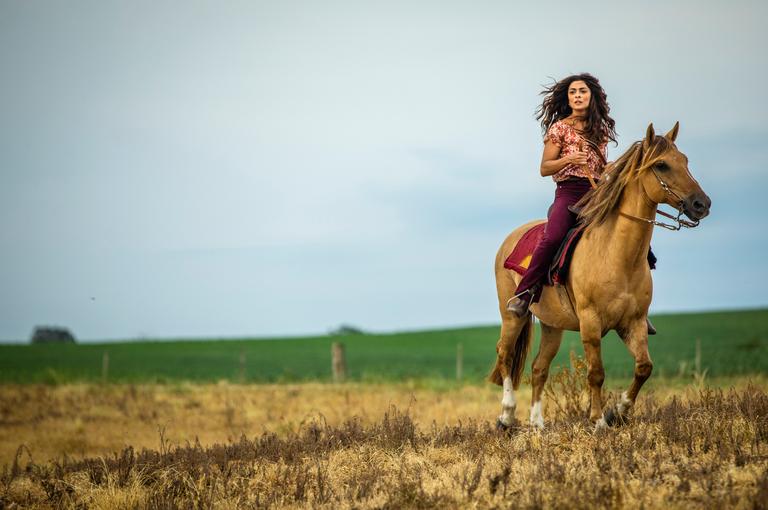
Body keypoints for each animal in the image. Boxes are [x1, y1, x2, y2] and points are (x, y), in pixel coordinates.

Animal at [488, 123, 712, 430]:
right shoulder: (590, 323)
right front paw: (597, 421)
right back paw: (506, 416)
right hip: (512, 315)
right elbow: (596, 373)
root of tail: (509, 240)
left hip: (552, 325)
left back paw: (537, 424)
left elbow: (644, 367)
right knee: (505, 355)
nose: (702, 204)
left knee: (538, 368)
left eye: (685, 161)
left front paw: (618, 412)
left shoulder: (633, 322)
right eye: (662, 165)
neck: (616, 256)